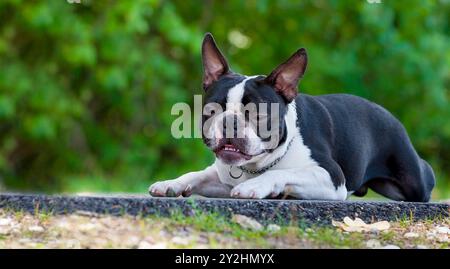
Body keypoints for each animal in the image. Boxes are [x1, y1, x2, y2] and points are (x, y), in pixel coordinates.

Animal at [149, 33, 434, 201]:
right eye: (212, 111)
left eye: (258, 113)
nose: (230, 122)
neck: (256, 166)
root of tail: (387, 113)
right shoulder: (221, 177)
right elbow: (195, 174)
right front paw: (171, 183)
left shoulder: (331, 177)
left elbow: (286, 172)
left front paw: (258, 186)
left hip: (414, 181)